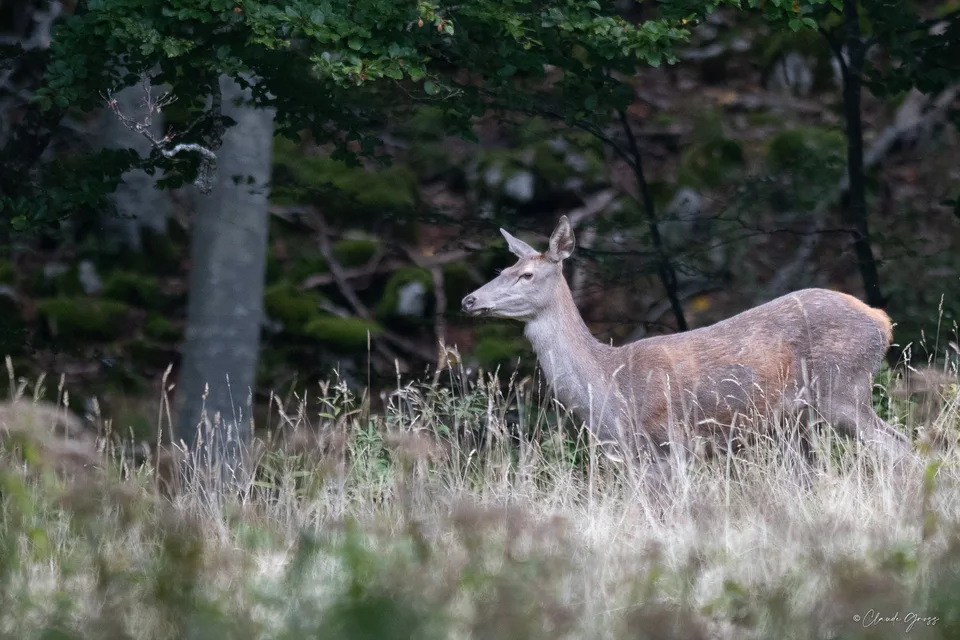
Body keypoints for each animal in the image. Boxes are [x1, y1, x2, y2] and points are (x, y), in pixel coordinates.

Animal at [461, 215, 911, 479]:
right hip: (802, 419)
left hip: (842, 388)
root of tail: (881, 321)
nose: (469, 300)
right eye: (503, 268)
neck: (609, 387)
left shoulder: (669, 439)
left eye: (527, 275)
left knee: (901, 447)